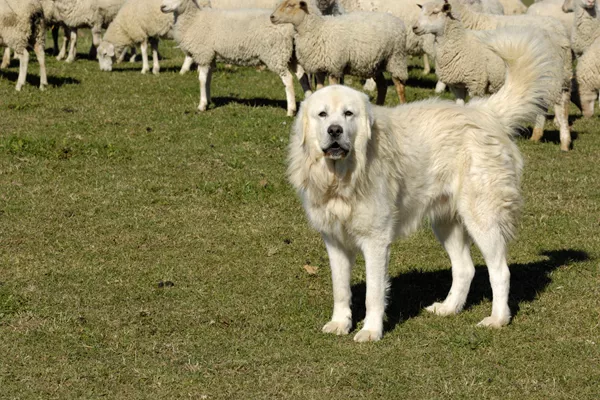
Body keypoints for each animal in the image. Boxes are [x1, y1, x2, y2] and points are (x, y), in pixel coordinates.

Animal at [161, 0, 310, 115]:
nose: (162, 6)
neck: (194, 19)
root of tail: (290, 28)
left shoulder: (203, 54)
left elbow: (202, 79)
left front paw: (202, 105)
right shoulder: (210, 57)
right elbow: (208, 80)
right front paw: (208, 101)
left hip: (276, 54)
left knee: (288, 79)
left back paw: (291, 110)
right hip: (292, 55)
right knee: (302, 77)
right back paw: (309, 100)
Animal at [270, 0, 408, 104]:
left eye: (290, 5)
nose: (272, 17)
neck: (317, 29)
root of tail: (397, 21)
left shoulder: (334, 68)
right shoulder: (319, 68)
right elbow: (319, 89)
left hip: (396, 59)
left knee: (399, 86)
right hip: (375, 64)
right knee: (382, 86)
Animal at [288, 28, 560, 342]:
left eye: (348, 114)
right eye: (322, 115)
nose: (335, 131)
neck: (342, 177)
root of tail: (483, 112)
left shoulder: (375, 240)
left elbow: (373, 293)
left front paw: (371, 331)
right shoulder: (334, 240)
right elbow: (341, 289)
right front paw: (340, 323)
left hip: (482, 218)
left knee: (500, 272)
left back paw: (497, 319)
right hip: (446, 222)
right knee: (465, 269)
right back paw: (449, 308)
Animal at [414, 0, 576, 152]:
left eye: (435, 12)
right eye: (421, 10)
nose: (414, 27)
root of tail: (560, 32)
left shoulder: (476, 82)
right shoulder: (457, 85)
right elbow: (459, 107)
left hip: (555, 79)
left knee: (560, 107)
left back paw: (564, 143)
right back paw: (536, 136)